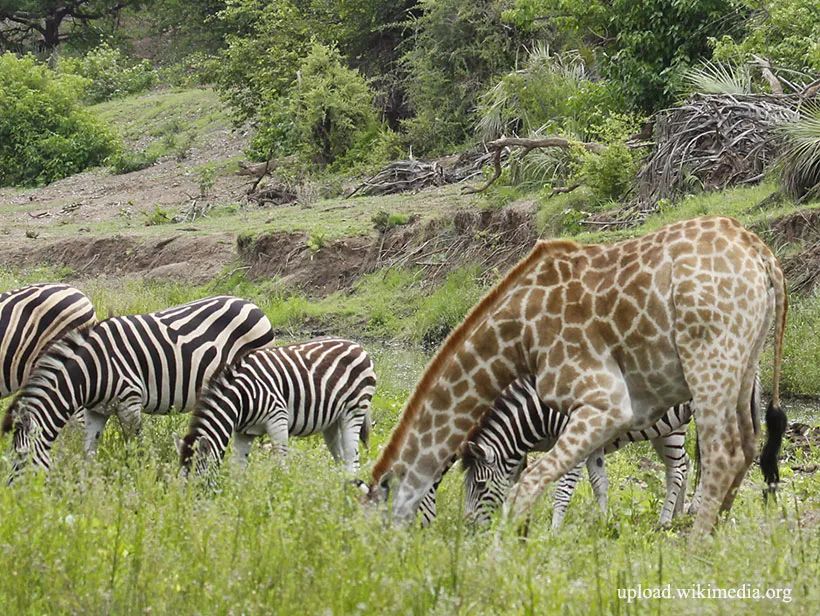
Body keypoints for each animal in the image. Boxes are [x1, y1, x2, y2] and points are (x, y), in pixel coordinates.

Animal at [2, 296, 276, 474]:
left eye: (20, 459)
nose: (17, 498)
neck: (92, 370)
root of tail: (253, 305)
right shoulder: (95, 411)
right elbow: (89, 451)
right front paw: (89, 484)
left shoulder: (129, 402)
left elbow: (135, 448)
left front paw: (138, 478)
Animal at [178, 336, 376, 476]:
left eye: (197, 480)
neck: (241, 399)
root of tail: (358, 346)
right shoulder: (244, 432)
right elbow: (238, 468)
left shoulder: (278, 417)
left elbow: (280, 463)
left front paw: (280, 490)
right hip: (332, 422)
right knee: (341, 459)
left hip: (354, 410)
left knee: (352, 458)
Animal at [362, 217, 784, 536]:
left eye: (477, 484)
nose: (468, 530)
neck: (517, 335)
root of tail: (762, 254)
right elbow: (590, 482)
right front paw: (598, 526)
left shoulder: (599, 406)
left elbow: (547, 484)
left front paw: (526, 544)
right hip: (738, 372)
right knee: (735, 451)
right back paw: (706, 532)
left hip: (706, 367)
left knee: (714, 456)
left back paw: (689, 542)